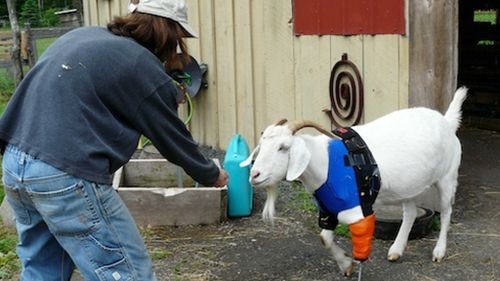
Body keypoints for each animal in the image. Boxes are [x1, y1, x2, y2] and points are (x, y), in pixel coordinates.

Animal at [242, 87, 468, 274]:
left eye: (283, 147)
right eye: (262, 143)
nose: (255, 175)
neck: (325, 162)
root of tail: (446, 122)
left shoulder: (355, 210)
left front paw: (352, 264)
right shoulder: (328, 209)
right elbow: (324, 238)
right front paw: (346, 265)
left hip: (447, 177)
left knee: (446, 212)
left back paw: (439, 251)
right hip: (409, 185)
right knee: (411, 213)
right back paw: (396, 250)